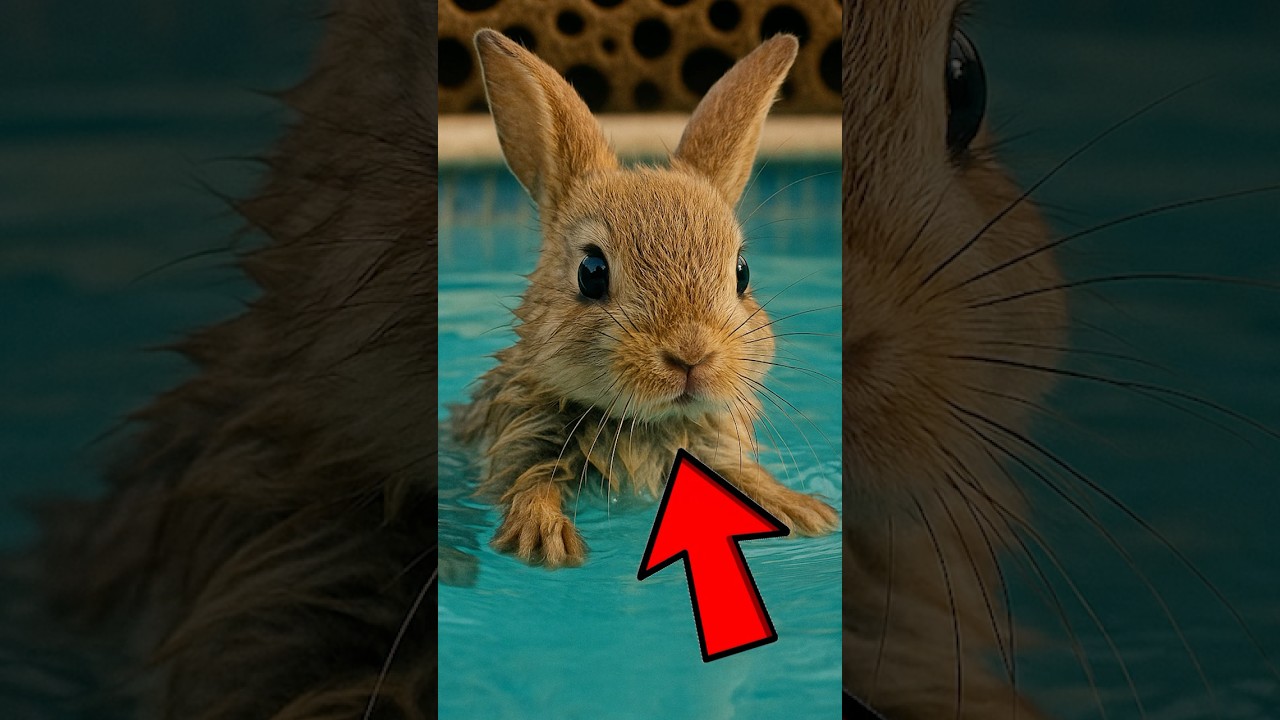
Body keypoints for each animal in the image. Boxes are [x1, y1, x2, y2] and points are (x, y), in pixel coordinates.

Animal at [451, 30, 840, 568]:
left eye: (742, 273)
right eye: (591, 273)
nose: (691, 355)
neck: (642, 423)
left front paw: (806, 511)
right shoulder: (519, 441)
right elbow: (529, 484)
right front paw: (545, 539)